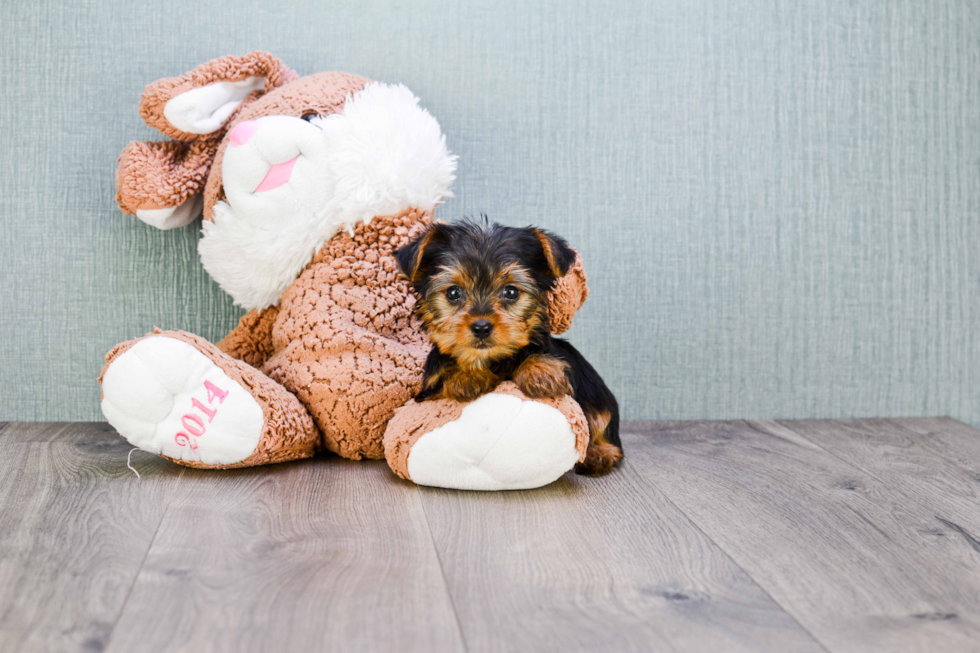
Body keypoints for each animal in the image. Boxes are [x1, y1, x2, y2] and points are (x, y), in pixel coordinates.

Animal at [396, 218, 620, 474]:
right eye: (453, 293)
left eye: (511, 292)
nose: (481, 327)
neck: (493, 359)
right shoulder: (428, 392)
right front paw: (467, 376)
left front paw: (541, 373)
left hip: (596, 394)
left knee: (601, 420)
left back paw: (599, 453)